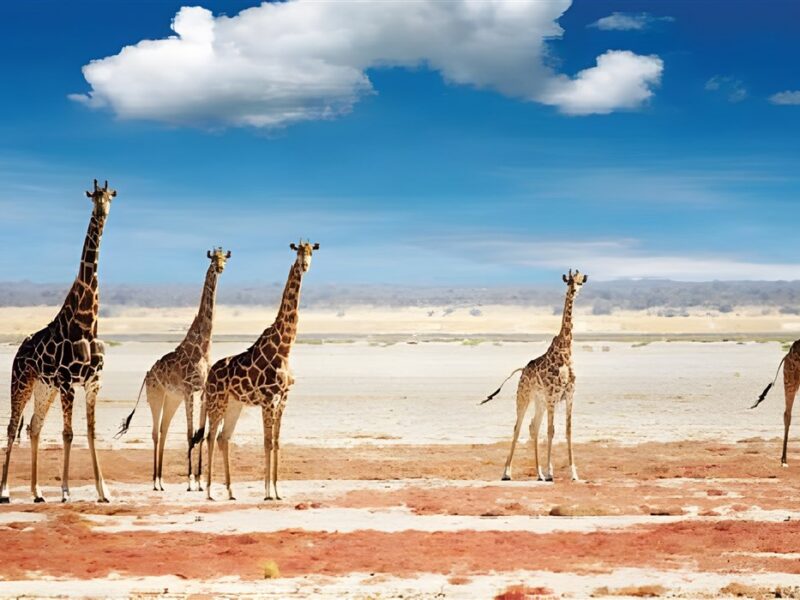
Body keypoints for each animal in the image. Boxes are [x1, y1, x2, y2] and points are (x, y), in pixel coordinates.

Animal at [1, 180, 116, 503]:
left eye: (110, 196)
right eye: (93, 196)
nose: (101, 212)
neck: (86, 322)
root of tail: (19, 351)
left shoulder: (92, 382)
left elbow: (90, 432)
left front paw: (104, 492)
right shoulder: (67, 382)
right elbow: (69, 434)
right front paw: (65, 491)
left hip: (44, 387)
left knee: (34, 426)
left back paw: (38, 491)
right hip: (22, 381)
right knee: (12, 427)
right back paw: (5, 491)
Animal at [116, 248, 231, 491]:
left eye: (224, 258)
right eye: (213, 259)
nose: (220, 268)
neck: (203, 346)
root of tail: (147, 375)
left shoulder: (202, 391)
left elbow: (200, 433)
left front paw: (198, 480)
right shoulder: (188, 390)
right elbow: (189, 434)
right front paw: (189, 481)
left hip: (172, 399)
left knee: (164, 430)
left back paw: (161, 480)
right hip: (156, 395)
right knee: (155, 433)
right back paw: (155, 481)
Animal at [192, 241, 319, 501]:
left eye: (312, 251)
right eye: (298, 251)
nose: (305, 265)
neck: (284, 348)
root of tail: (209, 376)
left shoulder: (283, 400)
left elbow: (276, 442)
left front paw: (278, 491)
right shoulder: (268, 400)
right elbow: (267, 442)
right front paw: (268, 492)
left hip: (234, 404)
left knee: (223, 438)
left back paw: (230, 491)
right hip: (217, 402)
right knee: (210, 437)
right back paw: (209, 491)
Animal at [481, 269, 588, 482]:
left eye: (580, 281)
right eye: (569, 281)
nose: (574, 290)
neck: (566, 351)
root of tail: (522, 370)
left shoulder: (569, 395)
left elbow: (568, 431)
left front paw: (573, 474)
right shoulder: (553, 395)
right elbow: (551, 431)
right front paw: (551, 472)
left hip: (539, 401)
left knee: (533, 427)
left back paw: (538, 474)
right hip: (524, 396)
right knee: (518, 427)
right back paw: (507, 473)